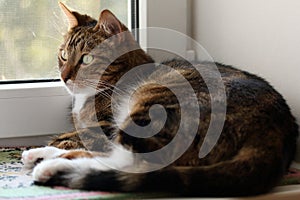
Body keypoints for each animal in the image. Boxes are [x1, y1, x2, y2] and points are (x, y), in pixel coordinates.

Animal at [21, 2, 298, 197]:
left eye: (87, 59)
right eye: (63, 55)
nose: (64, 77)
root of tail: (277, 126)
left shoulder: (106, 124)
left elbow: (77, 138)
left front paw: (52, 148)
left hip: (155, 104)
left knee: (138, 161)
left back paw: (52, 165)